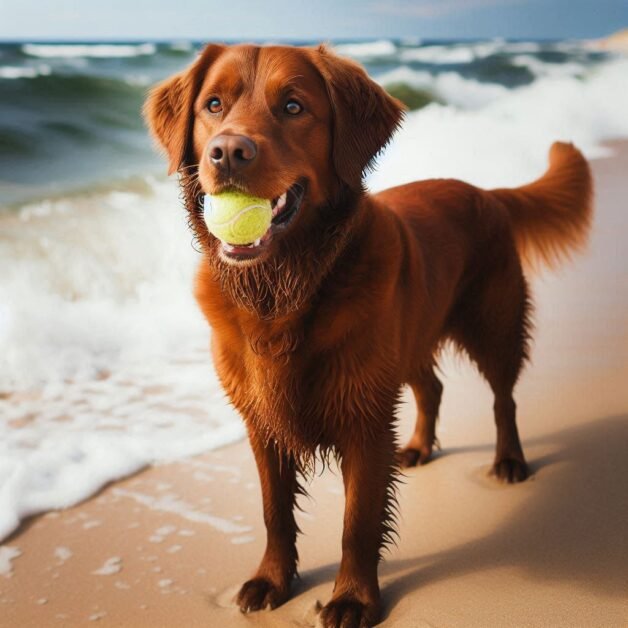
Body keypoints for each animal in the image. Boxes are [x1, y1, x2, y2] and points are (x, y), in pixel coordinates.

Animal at [145, 44, 592, 628]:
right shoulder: (262, 419)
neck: (285, 289)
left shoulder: (364, 417)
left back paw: (510, 461)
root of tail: (483, 191)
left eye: (293, 106)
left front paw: (352, 599)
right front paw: (272, 580)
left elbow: (358, 521)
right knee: (432, 388)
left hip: (493, 323)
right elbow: (273, 510)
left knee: (503, 397)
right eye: (213, 105)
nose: (227, 153)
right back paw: (419, 447)